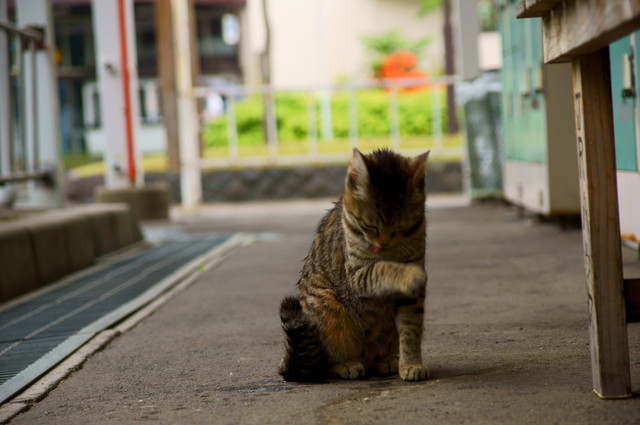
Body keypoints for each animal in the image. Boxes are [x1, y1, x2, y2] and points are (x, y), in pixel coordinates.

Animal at [279, 148, 430, 382]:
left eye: (401, 226)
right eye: (371, 226)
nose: (383, 243)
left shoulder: (411, 297)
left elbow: (411, 330)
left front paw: (411, 364)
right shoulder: (358, 276)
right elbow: (383, 268)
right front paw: (408, 273)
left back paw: (388, 359)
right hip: (328, 308)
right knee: (328, 361)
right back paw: (347, 365)